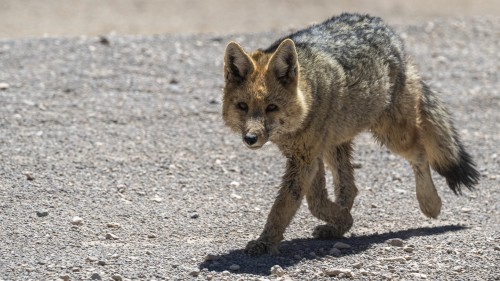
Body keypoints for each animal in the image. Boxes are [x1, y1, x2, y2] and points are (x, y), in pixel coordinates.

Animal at [223, 13, 480, 255]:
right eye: (243, 106)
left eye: (271, 108)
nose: (250, 139)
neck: (309, 94)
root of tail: (385, 28)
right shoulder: (307, 157)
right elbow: (315, 201)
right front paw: (341, 220)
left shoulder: (305, 159)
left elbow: (286, 205)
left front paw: (265, 243)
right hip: (334, 145)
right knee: (350, 188)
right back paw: (337, 226)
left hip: (393, 136)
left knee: (420, 154)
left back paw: (430, 203)